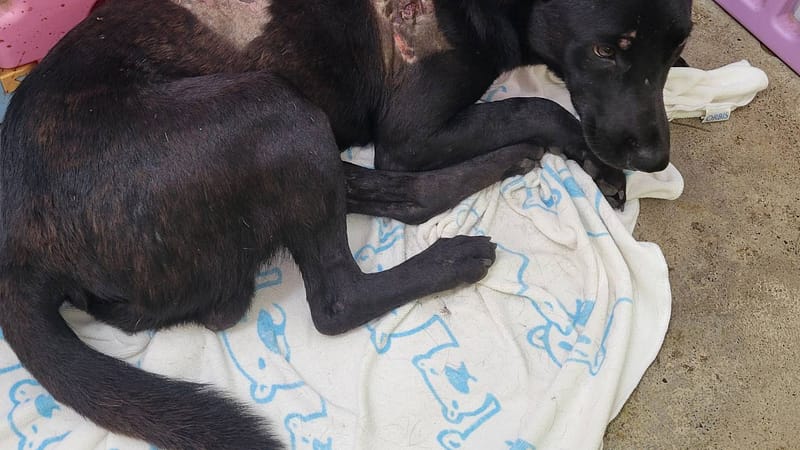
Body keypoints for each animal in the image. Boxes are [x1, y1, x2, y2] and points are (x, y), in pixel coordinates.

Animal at [0, 0, 692, 448]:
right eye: (604, 50)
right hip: (273, 111)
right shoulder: (412, 133)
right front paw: (591, 157)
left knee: (386, 195)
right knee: (338, 296)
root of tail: (19, 246)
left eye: (677, 50)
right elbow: (537, 105)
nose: (656, 159)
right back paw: (456, 255)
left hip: (291, 126)